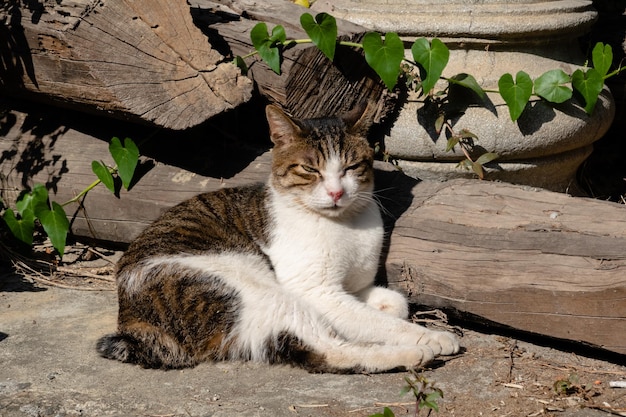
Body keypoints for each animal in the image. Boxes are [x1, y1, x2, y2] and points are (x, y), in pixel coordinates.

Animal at [97, 103, 458, 370]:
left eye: (351, 167)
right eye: (310, 170)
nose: (336, 192)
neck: (345, 224)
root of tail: (131, 322)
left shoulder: (352, 287)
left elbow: (393, 304)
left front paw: (387, 309)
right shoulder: (316, 291)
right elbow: (374, 321)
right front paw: (424, 335)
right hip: (255, 290)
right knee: (327, 352)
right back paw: (416, 353)